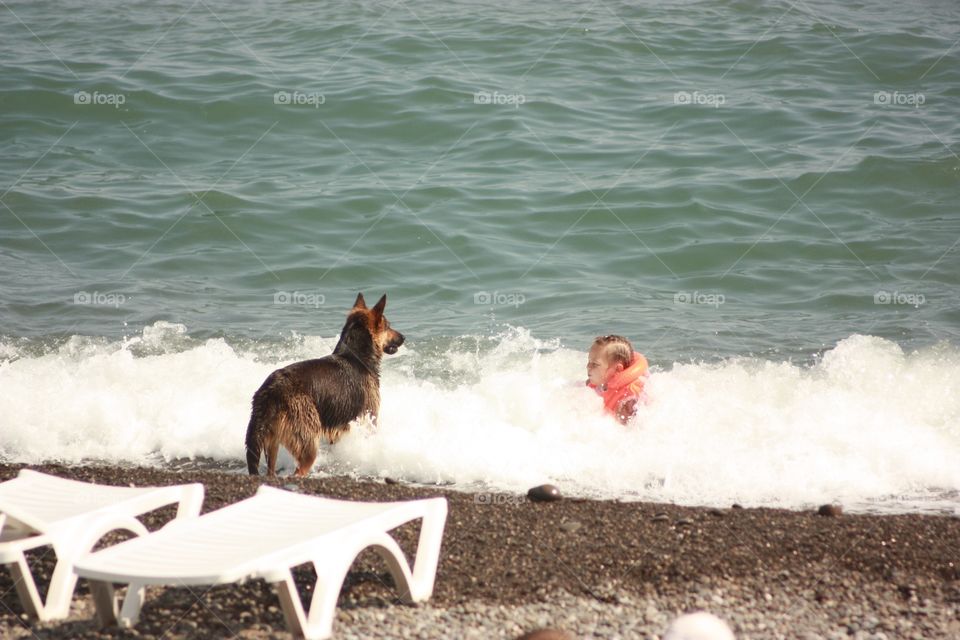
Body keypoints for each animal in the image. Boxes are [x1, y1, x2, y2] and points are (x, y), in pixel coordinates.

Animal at [244, 294, 404, 476]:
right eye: (388, 326)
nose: (404, 337)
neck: (355, 356)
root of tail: (270, 390)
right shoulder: (369, 421)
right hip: (307, 444)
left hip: (272, 443)